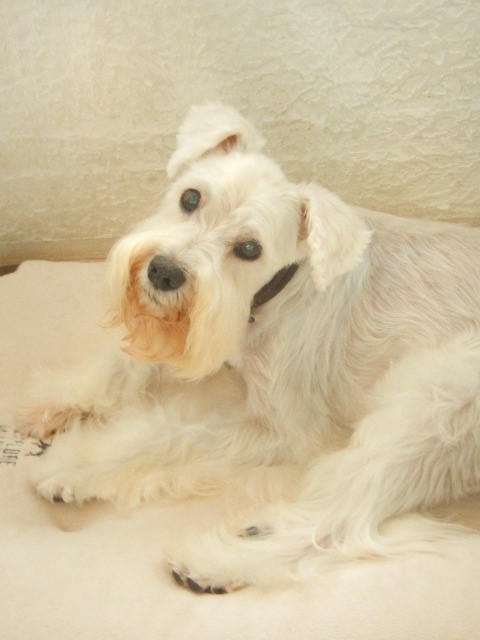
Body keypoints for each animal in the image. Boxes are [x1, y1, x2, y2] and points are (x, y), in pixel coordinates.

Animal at [17, 103, 480, 594]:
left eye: (249, 248)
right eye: (191, 198)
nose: (163, 272)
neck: (275, 294)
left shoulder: (283, 431)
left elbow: (172, 435)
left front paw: (72, 466)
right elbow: (119, 366)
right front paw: (49, 402)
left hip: (430, 409)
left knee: (342, 520)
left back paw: (217, 562)